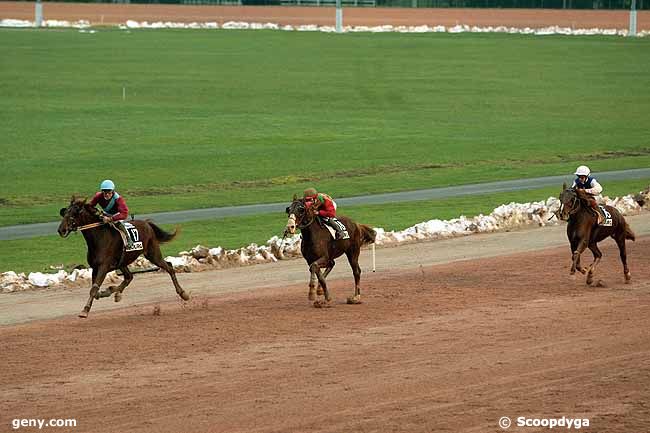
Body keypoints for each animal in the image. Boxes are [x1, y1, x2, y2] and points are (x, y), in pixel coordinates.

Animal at [57, 197, 190, 318]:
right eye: (65, 212)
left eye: (74, 214)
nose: (61, 230)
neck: (99, 237)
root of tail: (147, 223)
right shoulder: (95, 267)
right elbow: (95, 289)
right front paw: (106, 292)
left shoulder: (103, 267)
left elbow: (94, 290)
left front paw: (85, 310)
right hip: (123, 262)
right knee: (129, 277)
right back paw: (115, 293)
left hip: (153, 254)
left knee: (169, 267)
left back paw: (183, 293)